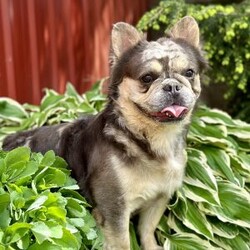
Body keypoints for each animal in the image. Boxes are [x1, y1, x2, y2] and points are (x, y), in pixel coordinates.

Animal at [3, 16, 207, 249]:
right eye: (147, 78)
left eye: (189, 73)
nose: (172, 86)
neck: (148, 139)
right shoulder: (114, 209)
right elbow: (123, 243)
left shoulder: (158, 199)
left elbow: (147, 231)